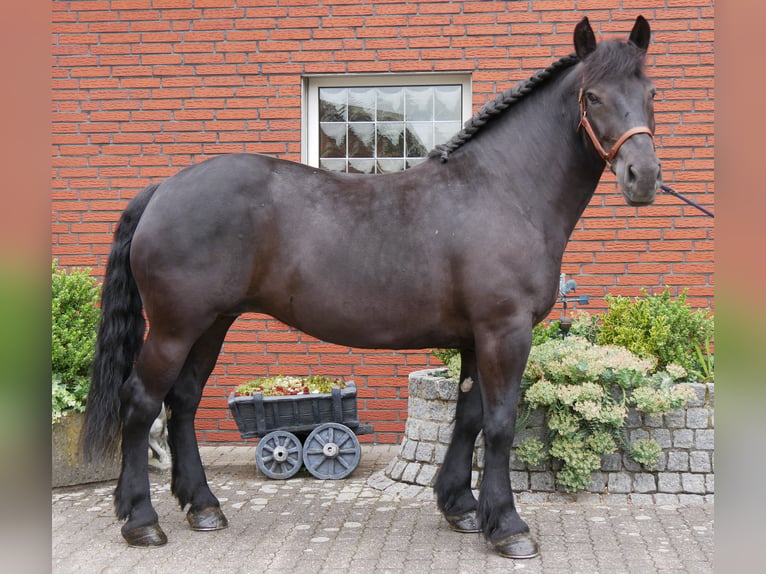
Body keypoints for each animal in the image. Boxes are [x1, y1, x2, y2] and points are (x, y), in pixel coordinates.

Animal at [82, 16, 661, 559]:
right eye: (592, 95)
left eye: (651, 93)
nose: (644, 176)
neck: (503, 190)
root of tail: (163, 189)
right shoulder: (505, 331)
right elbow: (499, 424)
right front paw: (509, 527)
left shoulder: (476, 338)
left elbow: (468, 417)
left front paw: (461, 507)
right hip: (175, 328)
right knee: (142, 403)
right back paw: (141, 520)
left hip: (211, 325)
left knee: (182, 401)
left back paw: (202, 506)